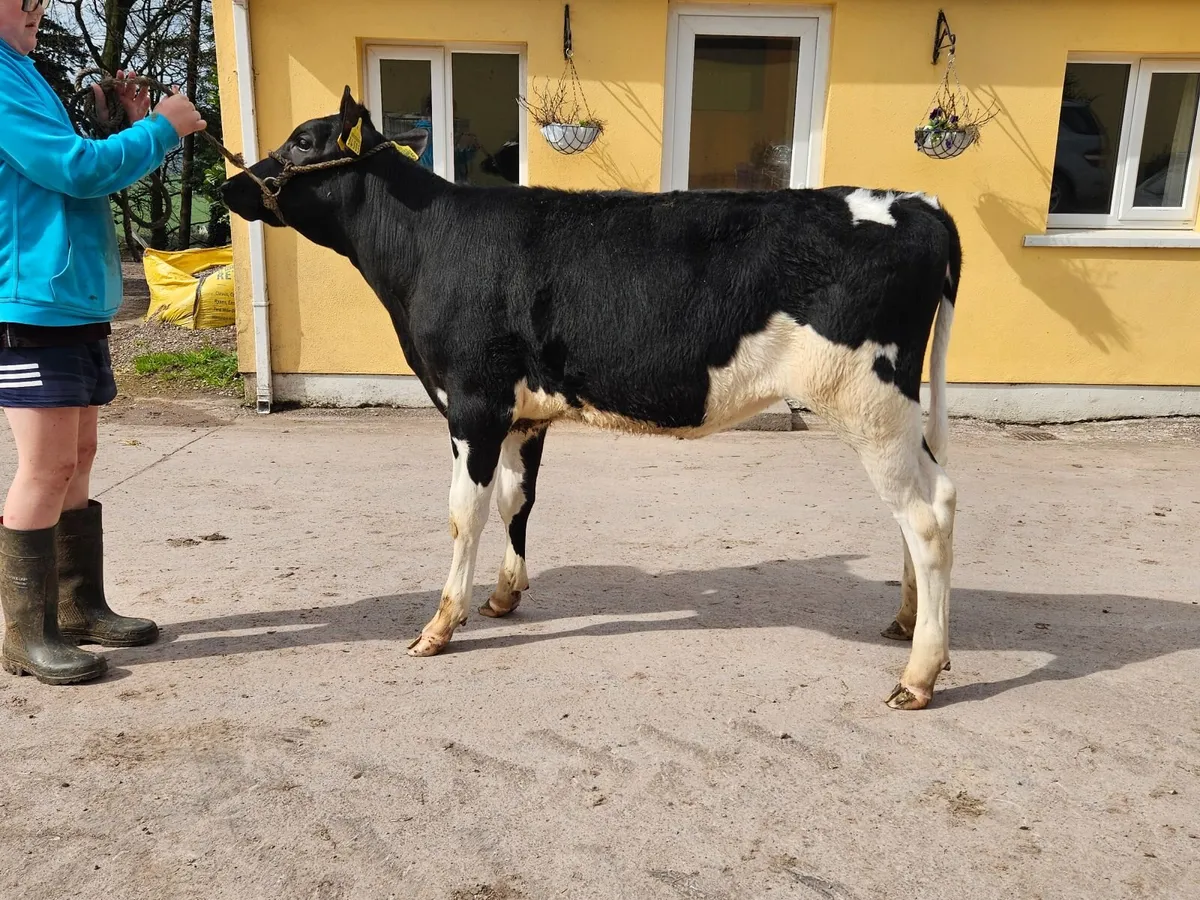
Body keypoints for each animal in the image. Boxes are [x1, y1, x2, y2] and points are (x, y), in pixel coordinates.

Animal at [221, 87, 962, 711]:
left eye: (304, 141)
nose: (228, 184)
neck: (426, 247)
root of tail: (918, 201)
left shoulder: (473, 403)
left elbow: (466, 514)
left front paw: (440, 625)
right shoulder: (523, 414)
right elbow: (518, 502)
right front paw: (504, 597)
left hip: (869, 399)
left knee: (924, 515)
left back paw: (920, 673)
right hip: (894, 409)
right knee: (935, 499)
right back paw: (905, 621)